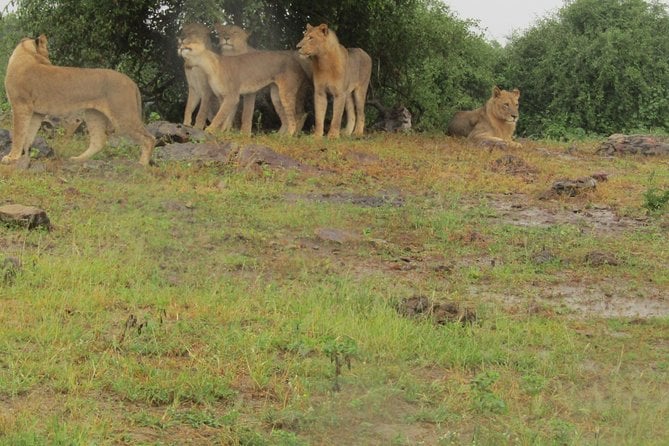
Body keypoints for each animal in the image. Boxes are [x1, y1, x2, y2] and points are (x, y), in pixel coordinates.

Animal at [2, 35, 154, 166]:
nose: (51, 62)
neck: (26, 55)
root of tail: (132, 82)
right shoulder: (36, 112)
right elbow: (28, 135)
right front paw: (24, 156)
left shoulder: (21, 105)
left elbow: (18, 133)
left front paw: (11, 157)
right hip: (94, 114)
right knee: (99, 141)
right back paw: (77, 159)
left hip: (122, 115)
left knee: (149, 138)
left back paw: (142, 164)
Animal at [176, 32, 306, 135]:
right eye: (180, 46)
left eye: (187, 46)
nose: (180, 48)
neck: (208, 66)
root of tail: (297, 63)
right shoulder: (222, 97)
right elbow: (226, 116)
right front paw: (222, 132)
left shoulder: (232, 97)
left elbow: (220, 115)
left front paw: (210, 130)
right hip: (276, 96)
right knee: (285, 118)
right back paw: (277, 137)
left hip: (286, 93)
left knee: (295, 117)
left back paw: (288, 136)